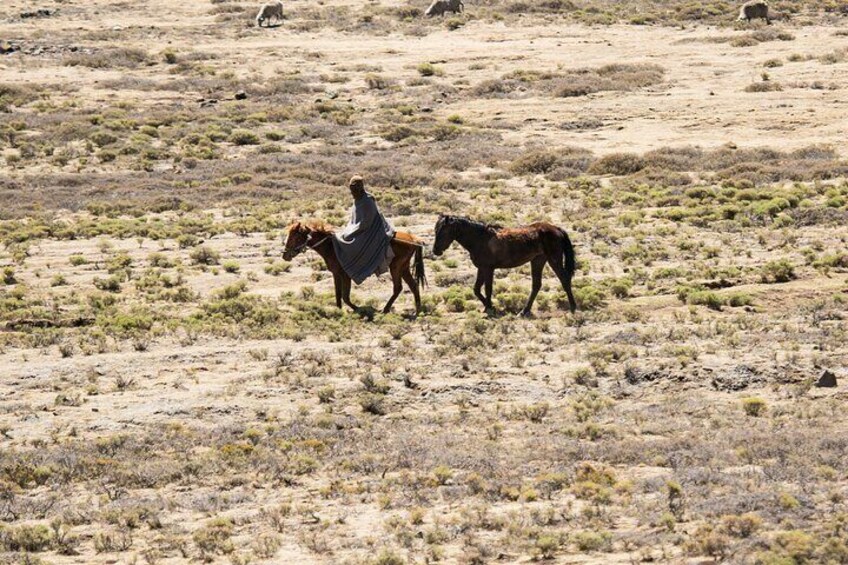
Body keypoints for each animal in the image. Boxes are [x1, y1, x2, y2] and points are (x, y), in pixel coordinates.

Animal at [284, 220, 428, 316]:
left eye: (294, 237)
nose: (285, 255)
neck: (332, 248)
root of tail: (414, 239)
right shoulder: (336, 274)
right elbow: (338, 294)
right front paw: (338, 310)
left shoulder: (345, 275)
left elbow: (345, 297)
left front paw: (360, 309)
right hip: (403, 267)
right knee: (413, 285)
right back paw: (417, 311)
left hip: (396, 267)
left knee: (398, 288)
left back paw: (386, 309)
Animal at [430, 214, 576, 316]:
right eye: (436, 230)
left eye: (443, 231)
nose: (435, 251)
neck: (480, 239)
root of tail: (556, 229)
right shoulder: (481, 268)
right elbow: (476, 289)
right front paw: (489, 307)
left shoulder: (488, 269)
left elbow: (487, 289)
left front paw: (490, 308)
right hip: (538, 261)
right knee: (536, 285)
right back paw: (524, 311)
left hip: (553, 260)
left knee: (564, 279)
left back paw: (573, 308)